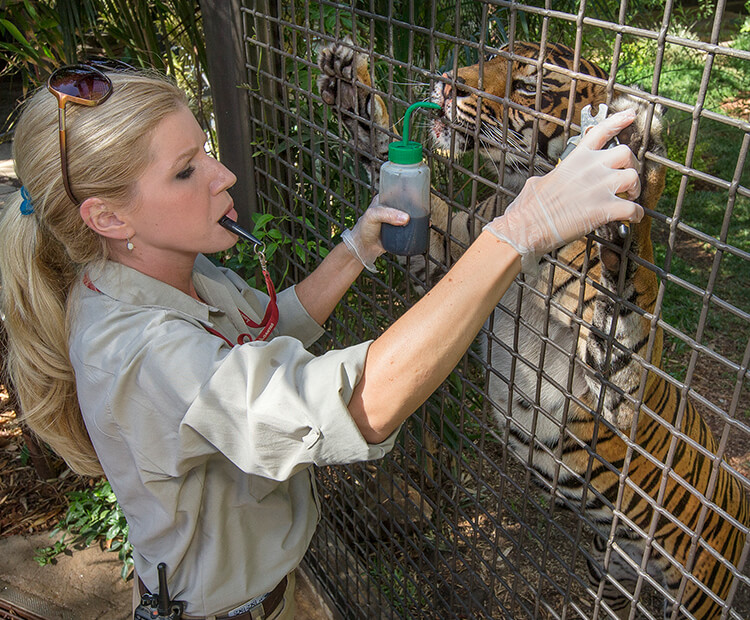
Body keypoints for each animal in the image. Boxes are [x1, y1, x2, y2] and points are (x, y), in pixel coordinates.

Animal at [318, 37, 750, 616]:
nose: (447, 84)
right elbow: (387, 161)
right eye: (493, 54)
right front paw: (348, 81)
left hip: (698, 594)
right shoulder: (444, 255)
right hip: (609, 571)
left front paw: (633, 158)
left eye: (528, 85)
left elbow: (632, 292)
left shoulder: (619, 391)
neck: (517, 192)